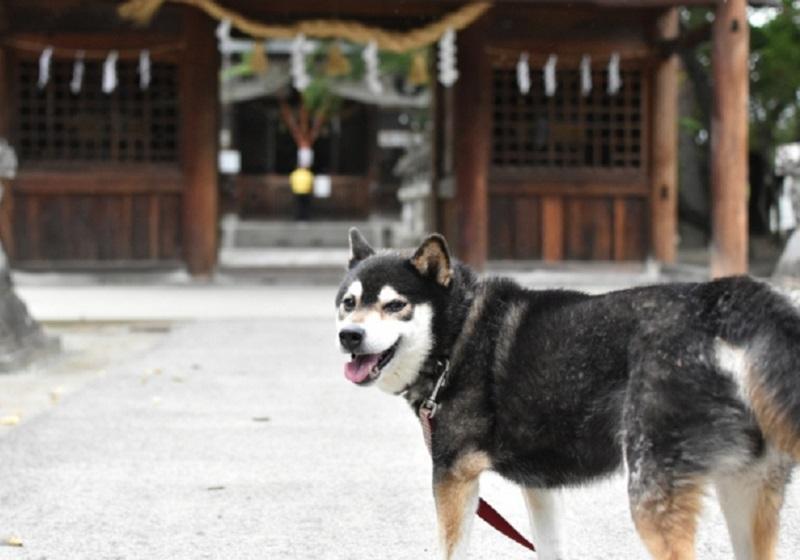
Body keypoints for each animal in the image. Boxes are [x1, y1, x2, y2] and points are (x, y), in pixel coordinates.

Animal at [334, 229, 800, 560]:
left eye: (395, 306)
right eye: (348, 303)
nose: (349, 336)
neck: (459, 334)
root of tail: (721, 302)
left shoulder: (453, 476)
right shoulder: (539, 483)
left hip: (653, 492)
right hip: (744, 488)